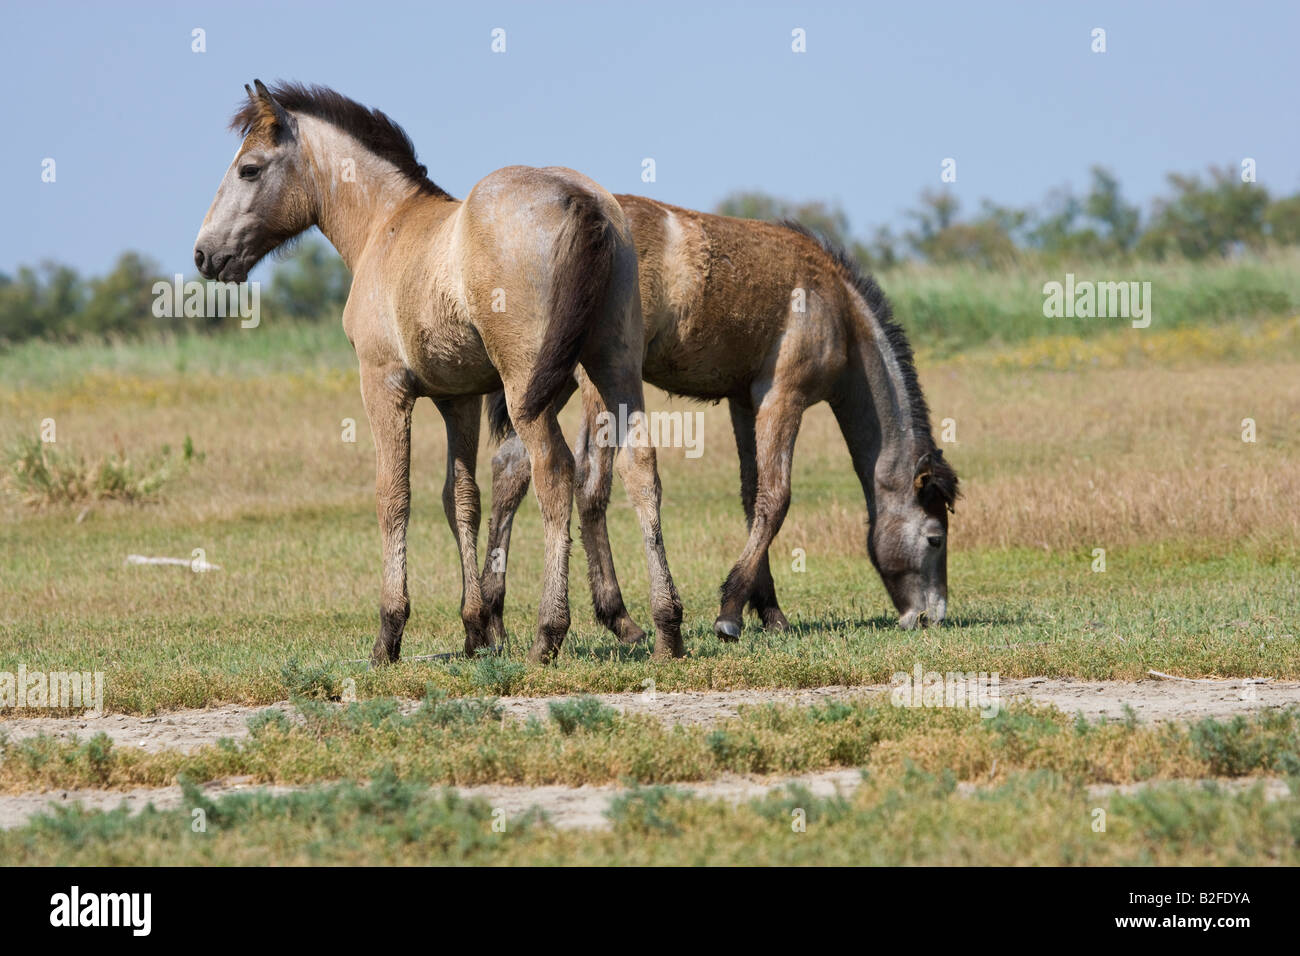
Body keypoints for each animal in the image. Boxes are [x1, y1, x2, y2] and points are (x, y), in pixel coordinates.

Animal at [194, 81, 683, 665]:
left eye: (248, 168)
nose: (204, 254)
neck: (385, 225)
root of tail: (581, 200)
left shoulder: (384, 387)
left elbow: (393, 497)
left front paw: (389, 633)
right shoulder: (460, 398)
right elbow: (461, 500)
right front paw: (476, 629)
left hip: (528, 386)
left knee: (555, 472)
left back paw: (549, 632)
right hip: (615, 367)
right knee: (640, 469)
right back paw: (667, 628)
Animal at [479, 194, 959, 648]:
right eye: (935, 538)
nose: (931, 616)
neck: (836, 307)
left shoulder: (745, 403)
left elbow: (752, 495)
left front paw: (769, 611)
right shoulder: (784, 398)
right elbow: (776, 499)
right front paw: (730, 613)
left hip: (546, 382)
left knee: (512, 468)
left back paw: (491, 619)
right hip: (596, 383)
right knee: (590, 484)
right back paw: (619, 619)